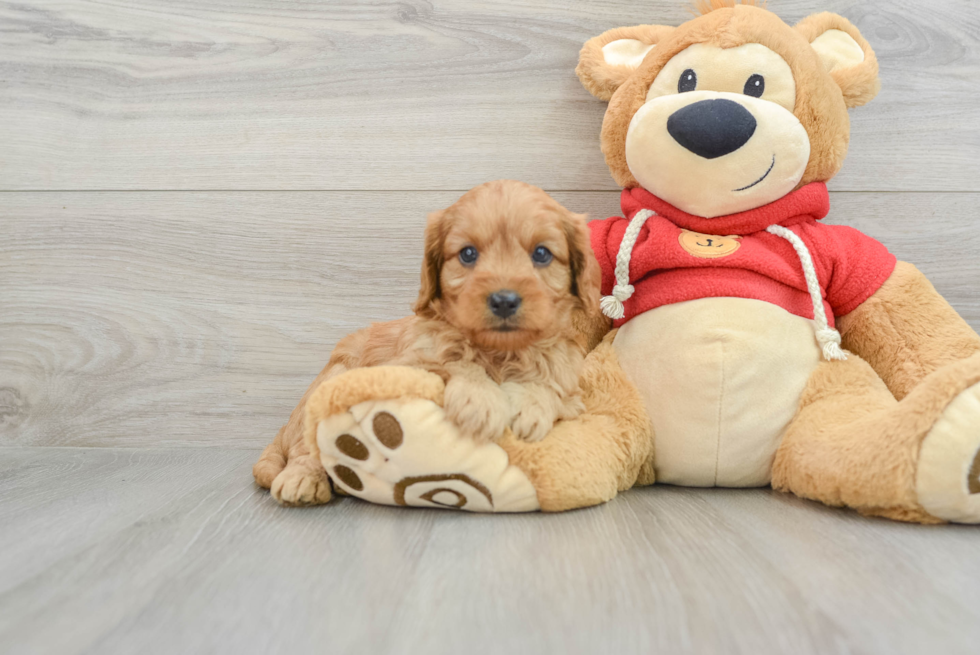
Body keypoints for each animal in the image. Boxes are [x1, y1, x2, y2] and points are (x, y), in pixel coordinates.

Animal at [251, 181, 604, 508]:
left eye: (541, 253)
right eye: (468, 254)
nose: (504, 300)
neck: (499, 351)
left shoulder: (571, 389)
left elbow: (549, 383)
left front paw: (529, 404)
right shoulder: (410, 362)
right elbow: (453, 361)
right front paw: (480, 400)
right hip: (330, 380)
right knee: (306, 448)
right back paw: (303, 479)